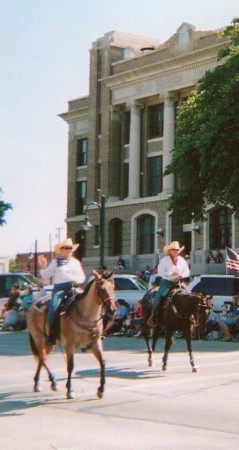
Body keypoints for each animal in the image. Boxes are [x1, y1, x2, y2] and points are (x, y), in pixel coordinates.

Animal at [26, 268, 116, 400]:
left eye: (113, 287)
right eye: (102, 289)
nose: (112, 310)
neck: (85, 315)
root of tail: (32, 305)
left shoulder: (95, 342)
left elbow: (103, 362)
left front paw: (101, 389)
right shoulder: (70, 344)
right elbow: (70, 365)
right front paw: (70, 390)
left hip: (49, 342)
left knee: (42, 358)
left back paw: (39, 382)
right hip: (39, 338)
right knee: (42, 358)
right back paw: (52, 381)